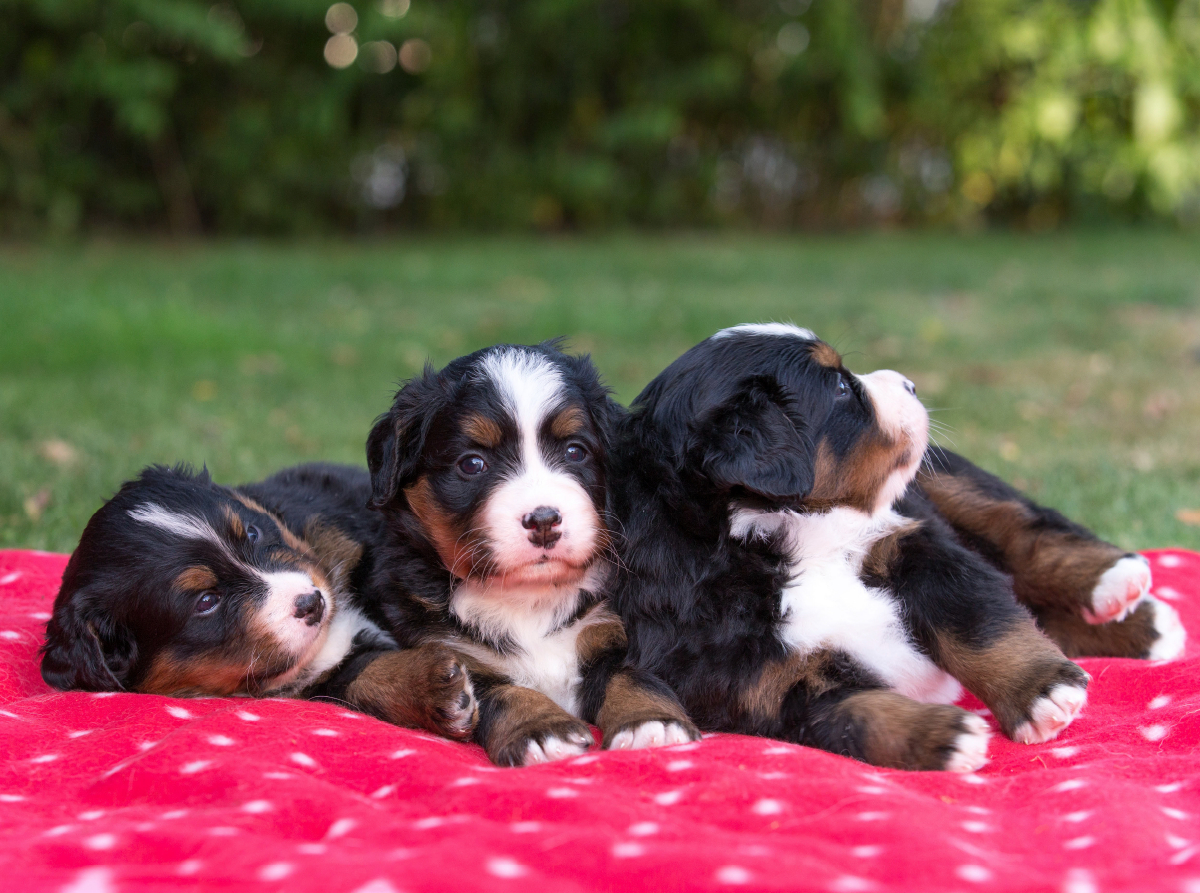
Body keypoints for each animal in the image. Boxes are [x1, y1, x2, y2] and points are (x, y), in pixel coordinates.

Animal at [362, 340, 696, 768]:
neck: (528, 597)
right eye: (473, 463)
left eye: (575, 451)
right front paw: (540, 728)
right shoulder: (455, 654)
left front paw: (651, 723)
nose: (543, 519)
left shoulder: (609, 631)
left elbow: (631, 676)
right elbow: (505, 694)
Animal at [609, 324, 1180, 772]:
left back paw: (1121, 589)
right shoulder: (768, 684)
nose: (910, 382)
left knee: (1022, 531)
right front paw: (944, 738)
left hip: (944, 480)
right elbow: (856, 715)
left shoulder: (914, 545)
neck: (786, 540)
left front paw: (1041, 692)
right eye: (841, 387)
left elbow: (980, 625)